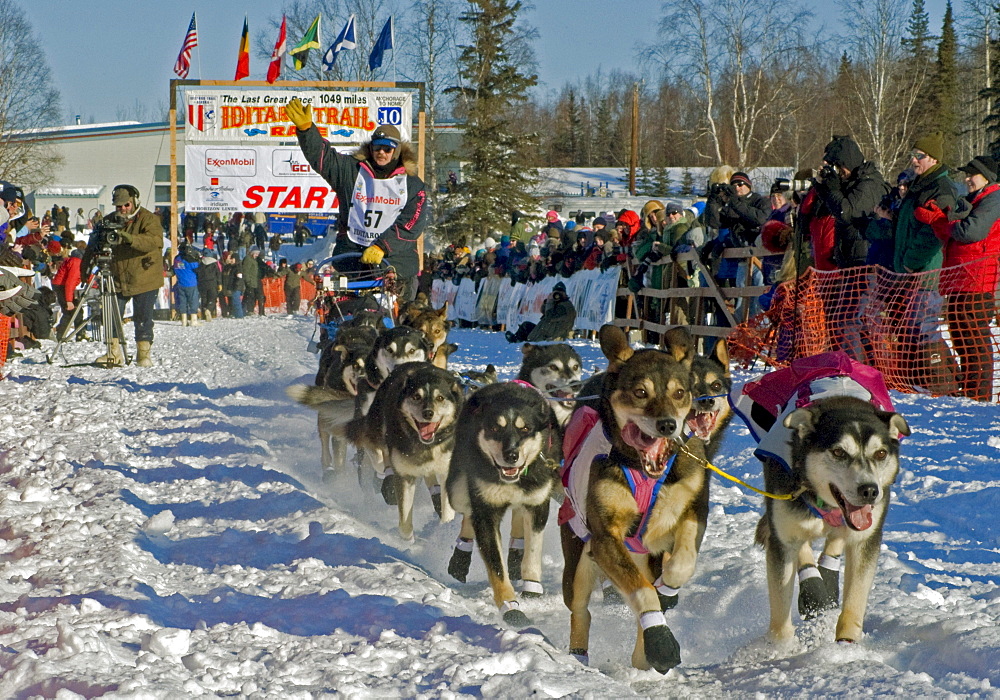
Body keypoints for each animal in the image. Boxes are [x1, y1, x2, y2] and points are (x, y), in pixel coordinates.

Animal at [348, 360, 464, 540]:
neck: (427, 445)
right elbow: (404, 524)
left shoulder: (447, 472)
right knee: (375, 454)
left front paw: (445, 527)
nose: (428, 413)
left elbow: (447, 512)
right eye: (416, 396)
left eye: (440, 398)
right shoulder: (405, 476)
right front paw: (407, 542)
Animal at [448, 380, 564, 628]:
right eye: (495, 428)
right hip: (458, 490)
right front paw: (510, 606)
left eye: (525, 429)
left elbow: (533, 551)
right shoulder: (486, 512)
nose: (511, 455)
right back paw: (461, 557)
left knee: (518, 515)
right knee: (468, 514)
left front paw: (532, 586)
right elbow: (497, 568)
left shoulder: (538, 504)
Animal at [560, 322, 708, 672]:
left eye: (679, 393)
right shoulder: (606, 538)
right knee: (580, 608)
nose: (667, 424)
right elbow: (643, 594)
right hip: (579, 561)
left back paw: (643, 657)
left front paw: (668, 589)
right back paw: (580, 656)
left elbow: (681, 563)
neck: (642, 470)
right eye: (641, 392)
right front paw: (660, 638)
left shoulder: (695, 507)